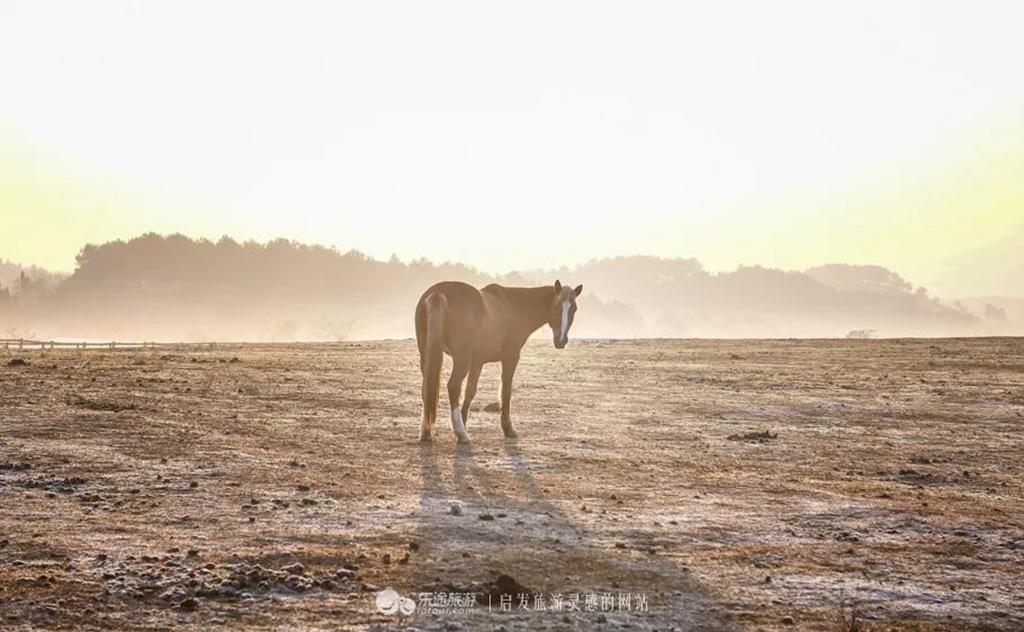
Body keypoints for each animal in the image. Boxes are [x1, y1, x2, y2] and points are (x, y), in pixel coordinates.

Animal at [411, 278, 581, 440]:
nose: (561, 340)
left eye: (574, 308)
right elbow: (506, 391)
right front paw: (508, 428)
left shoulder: (477, 362)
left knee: (427, 388)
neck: (514, 307)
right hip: (461, 358)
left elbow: (470, 392)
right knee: (453, 386)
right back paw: (460, 433)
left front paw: (464, 422)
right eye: (557, 305)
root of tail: (438, 293)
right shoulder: (511, 357)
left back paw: (426, 431)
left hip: (427, 355)